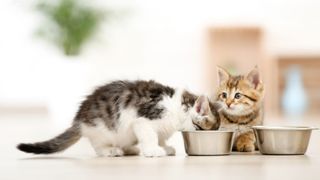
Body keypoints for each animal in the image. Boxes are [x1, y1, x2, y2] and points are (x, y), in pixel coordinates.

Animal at [17, 80, 221, 158]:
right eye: (206, 129)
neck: (177, 106)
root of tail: (79, 121)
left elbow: (161, 136)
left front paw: (164, 146)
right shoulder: (144, 120)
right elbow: (151, 136)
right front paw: (154, 150)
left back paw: (130, 148)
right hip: (102, 130)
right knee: (98, 147)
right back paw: (111, 151)